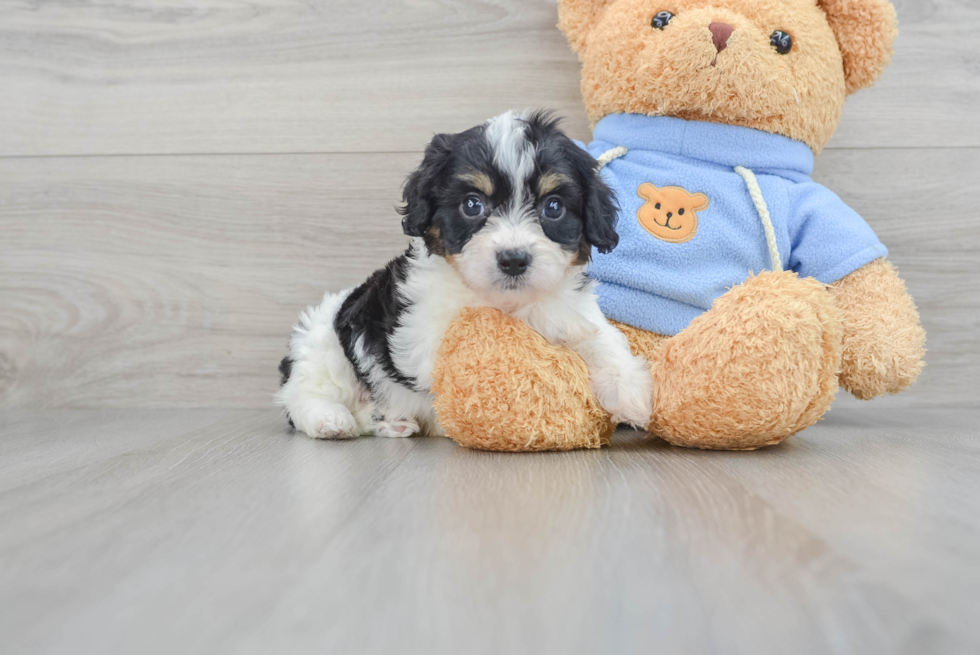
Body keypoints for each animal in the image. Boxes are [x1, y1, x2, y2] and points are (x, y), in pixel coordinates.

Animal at [276, 111, 656, 440]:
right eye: (472, 205)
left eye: (554, 207)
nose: (513, 260)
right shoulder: (424, 333)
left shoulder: (576, 305)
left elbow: (600, 336)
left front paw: (630, 391)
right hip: (322, 344)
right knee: (303, 394)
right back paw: (330, 419)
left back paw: (392, 423)